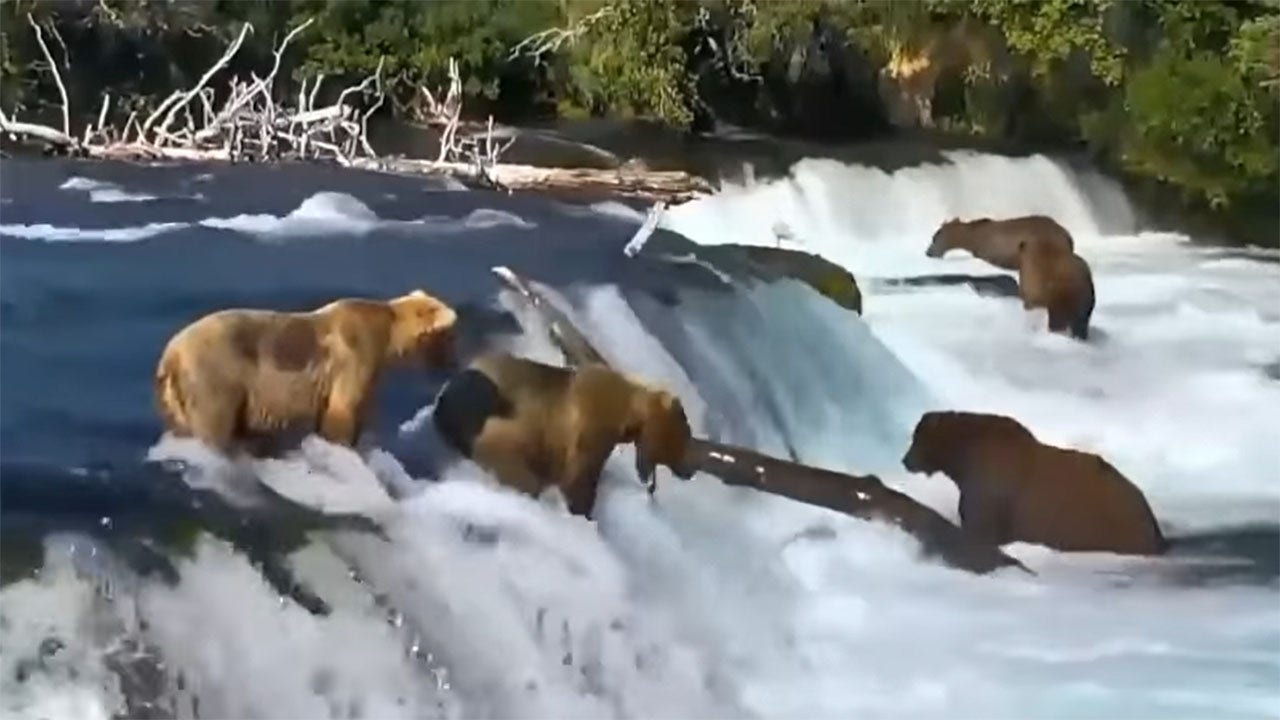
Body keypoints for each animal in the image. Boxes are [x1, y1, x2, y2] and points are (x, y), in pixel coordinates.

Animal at [154, 286, 458, 450]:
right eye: (451, 334)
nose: (452, 363)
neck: (388, 334)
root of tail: (170, 355)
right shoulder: (355, 353)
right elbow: (343, 410)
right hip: (215, 375)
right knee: (214, 425)